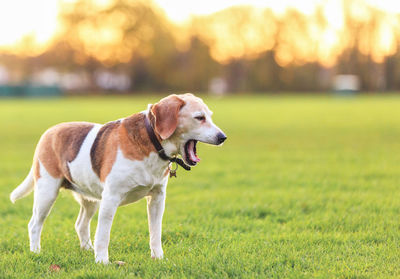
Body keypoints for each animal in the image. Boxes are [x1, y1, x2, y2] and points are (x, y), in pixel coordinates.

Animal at [10, 94, 227, 264]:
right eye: (199, 118)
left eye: (209, 116)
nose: (222, 137)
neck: (151, 142)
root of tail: (49, 132)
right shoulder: (111, 198)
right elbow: (103, 234)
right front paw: (102, 262)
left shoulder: (157, 198)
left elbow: (155, 233)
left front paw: (158, 258)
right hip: (47, 192)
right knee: (34, 224)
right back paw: (36, 252)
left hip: (91, 199)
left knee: (80, 224)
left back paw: (86, 249)